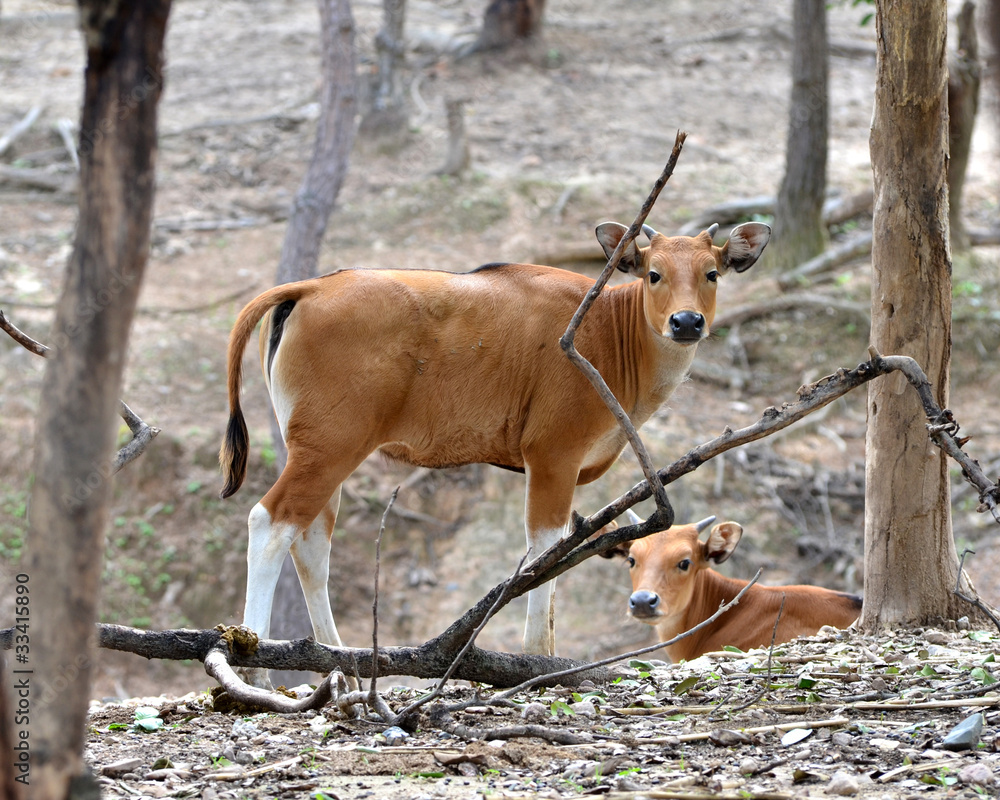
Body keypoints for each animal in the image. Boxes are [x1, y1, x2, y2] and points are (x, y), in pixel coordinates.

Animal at [221, 222, 772, 684]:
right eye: (654, 273)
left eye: (711, 273)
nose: (686, 322)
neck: (607, 329)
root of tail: (309, 288)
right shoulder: (553, 455)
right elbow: (545, 549)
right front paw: (537, 656)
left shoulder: (563, 470)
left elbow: (561, 547)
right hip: (331, 446)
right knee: (270, 522)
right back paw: (254, 666)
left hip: (321, 450)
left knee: (311, 544)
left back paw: (341, 664)